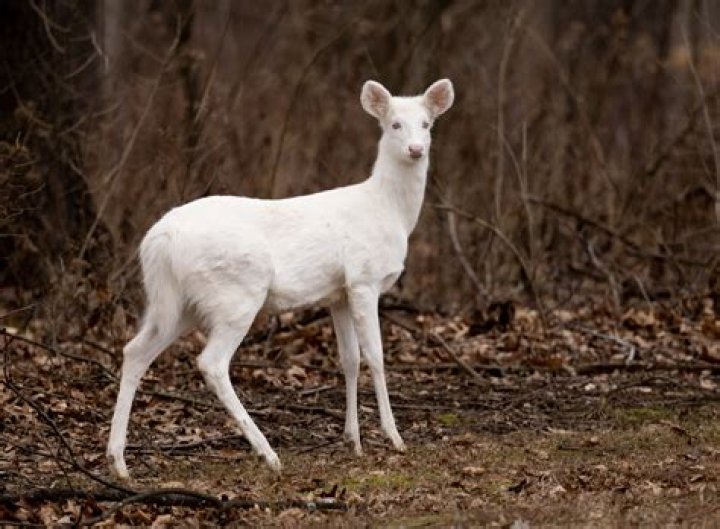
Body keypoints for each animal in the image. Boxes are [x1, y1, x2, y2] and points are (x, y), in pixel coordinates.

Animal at [106, 79, 455, 479]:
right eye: (394, 124)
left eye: (427, 124)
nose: (416, 149)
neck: (390, 211)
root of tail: (159, 240)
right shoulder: (364, 279)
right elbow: (376, 356)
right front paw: (393, 437)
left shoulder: (338, 293)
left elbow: (349, 359)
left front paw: (353, 441)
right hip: (237, 293)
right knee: (211, 362)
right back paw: (267, 453)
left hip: (178, 303)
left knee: (135, 351)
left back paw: (118, 461)